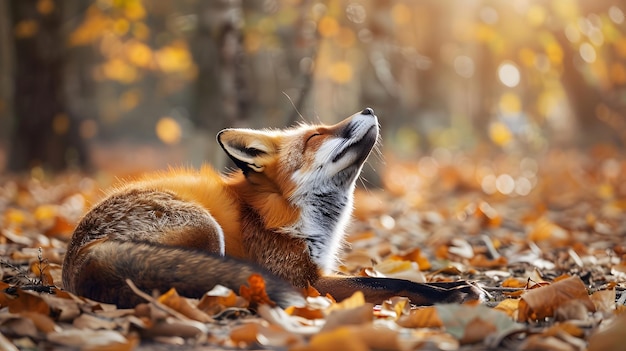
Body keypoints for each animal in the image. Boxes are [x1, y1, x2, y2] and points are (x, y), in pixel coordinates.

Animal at [62, 109, 482, 308]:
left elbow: (392, 277)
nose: (368, 109)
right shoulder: (304, 280)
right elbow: (390, 282)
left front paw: (458, 284)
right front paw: (449, 295)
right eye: (316, 136)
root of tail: (77, 256)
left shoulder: (318, 269)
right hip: (207, 230)